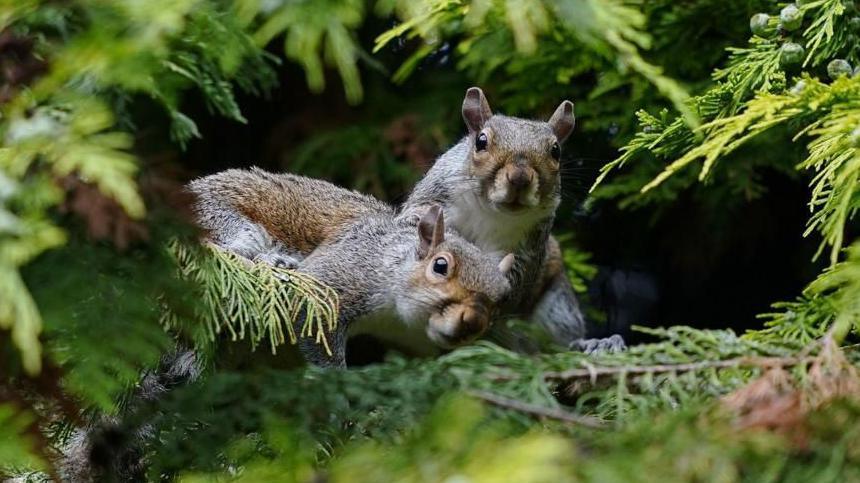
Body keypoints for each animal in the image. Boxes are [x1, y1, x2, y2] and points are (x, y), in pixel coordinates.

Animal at [187, 170, 512, 366]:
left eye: (503, 298)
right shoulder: (340, 276)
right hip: (223, 220)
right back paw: (275, 262)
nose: (472, 322)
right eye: (440, 266)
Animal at [404, 88, 624, 352]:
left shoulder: (527, 246)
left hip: (557, 308)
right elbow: (415, 220)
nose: (519, 178)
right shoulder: (436, 196)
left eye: (556, 151)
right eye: (481, 141)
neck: (488, 211)